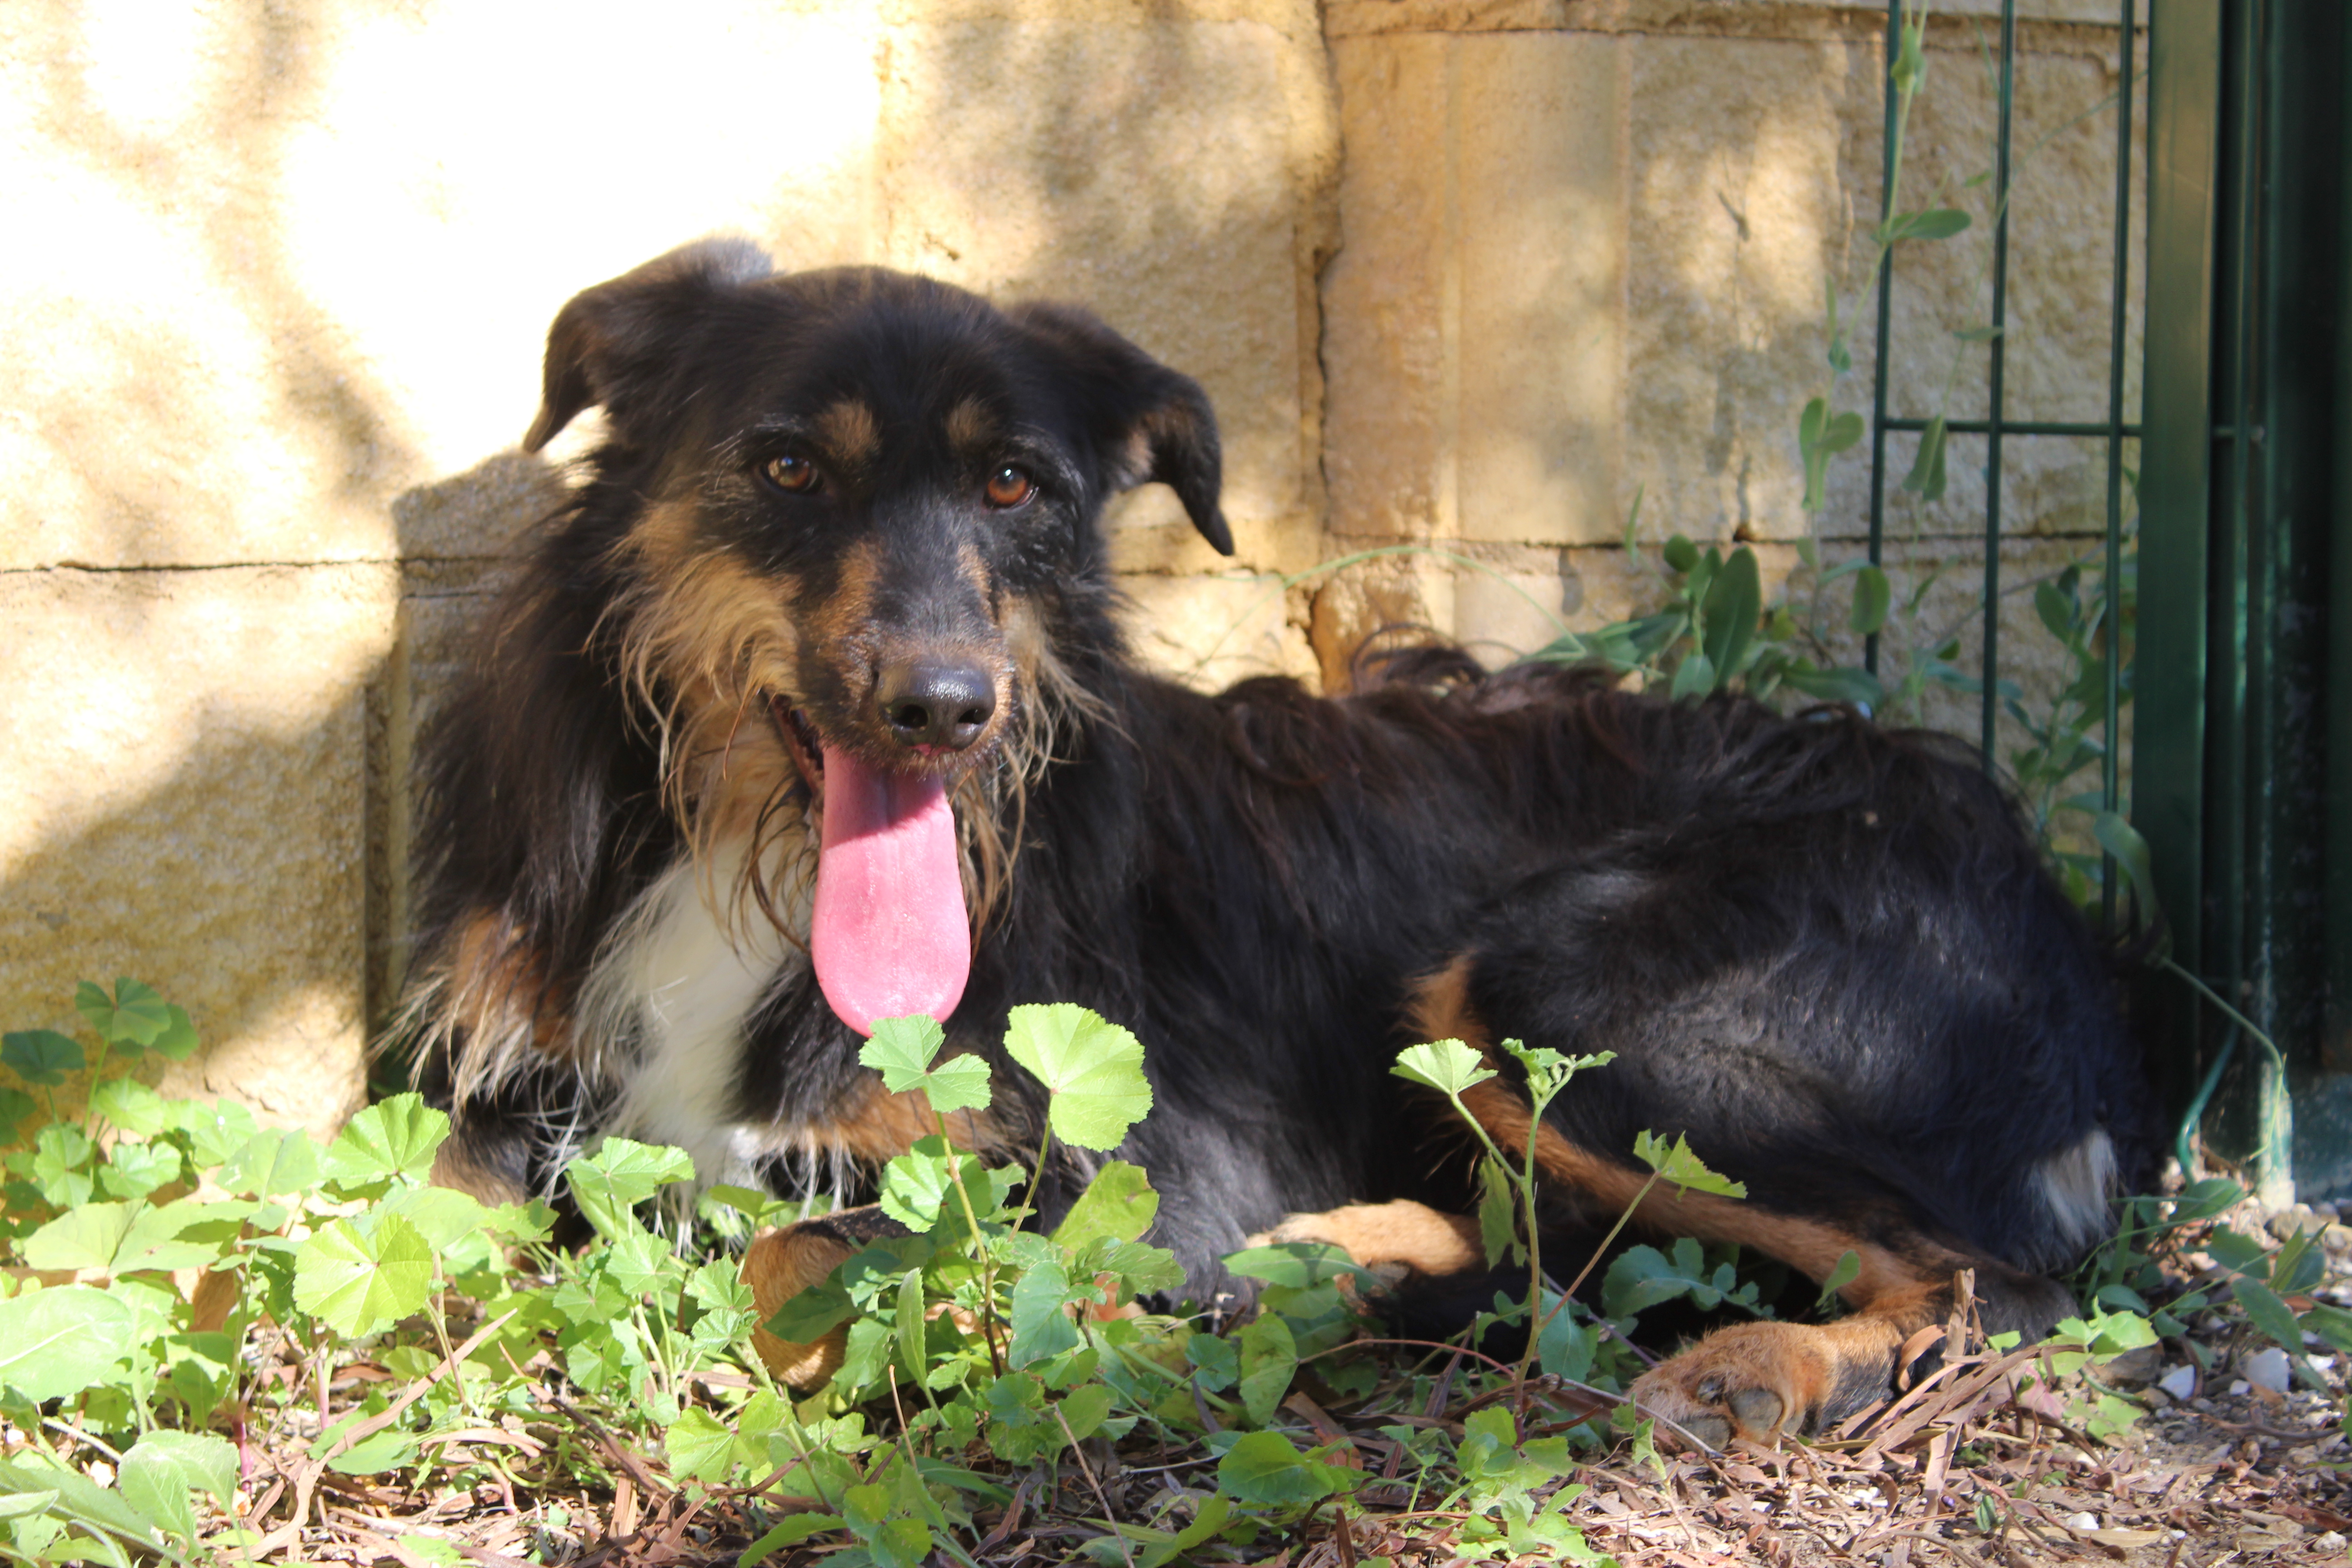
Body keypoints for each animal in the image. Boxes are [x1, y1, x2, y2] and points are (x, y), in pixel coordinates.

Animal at [395, 240, 2154, 1457]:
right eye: (784, 465)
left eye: (1014, 484)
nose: (944, 708)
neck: (740, 857)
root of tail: (2045, 895)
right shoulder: (513, 1087)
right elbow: (403, 1217)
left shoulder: (1105, 1161)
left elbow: (800, 1268)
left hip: (1564, 985)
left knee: (1989, 1285)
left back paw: (1742, 1369)